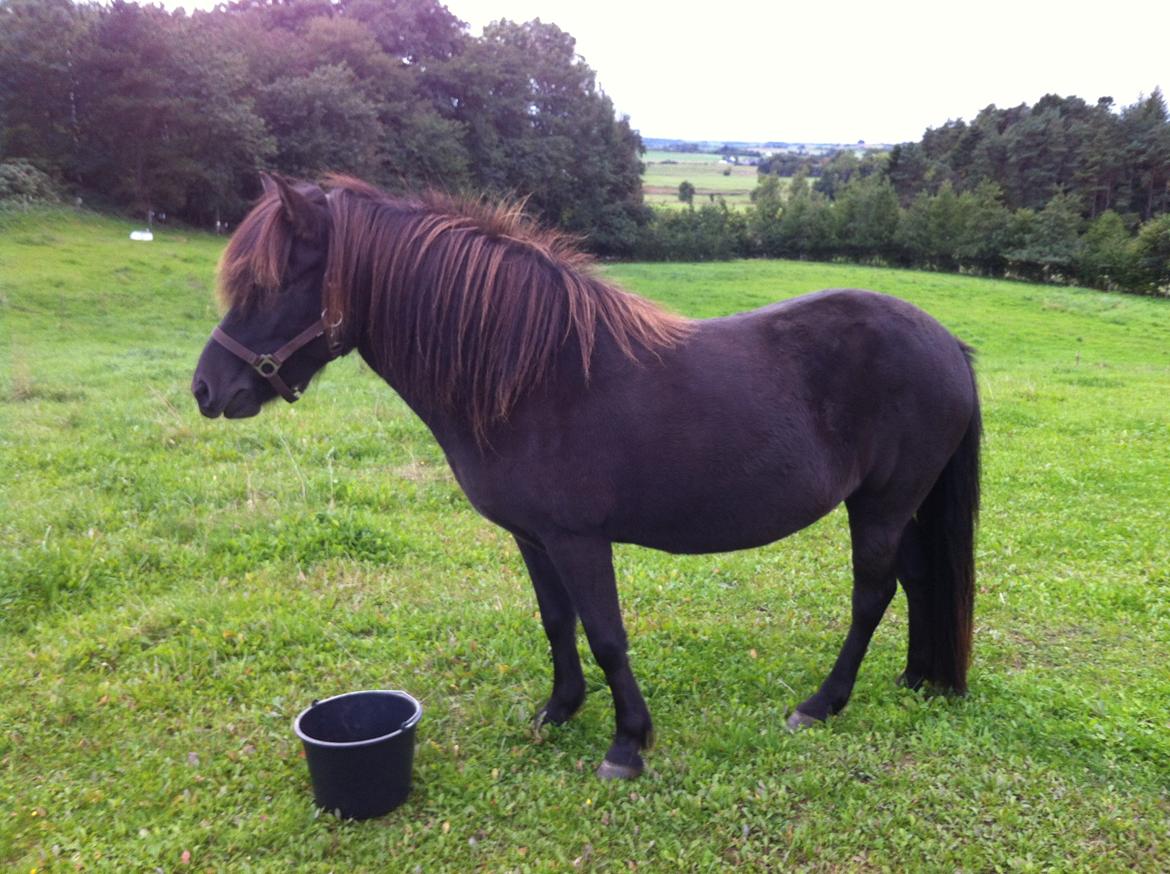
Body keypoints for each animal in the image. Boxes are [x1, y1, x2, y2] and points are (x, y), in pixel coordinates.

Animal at [191, 173, 978, 781]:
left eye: (269, 282)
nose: (207, 388)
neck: (535, 376)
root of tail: (948, 342)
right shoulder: (534, 537)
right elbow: (556, 620)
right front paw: (559, 708)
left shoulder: (578, 539)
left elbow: (605, 634)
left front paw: (628, 744)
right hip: (897, 506)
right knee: (916, 578)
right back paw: (917, 678)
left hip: (878, 506)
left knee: (873, 592)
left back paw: (821, 704)